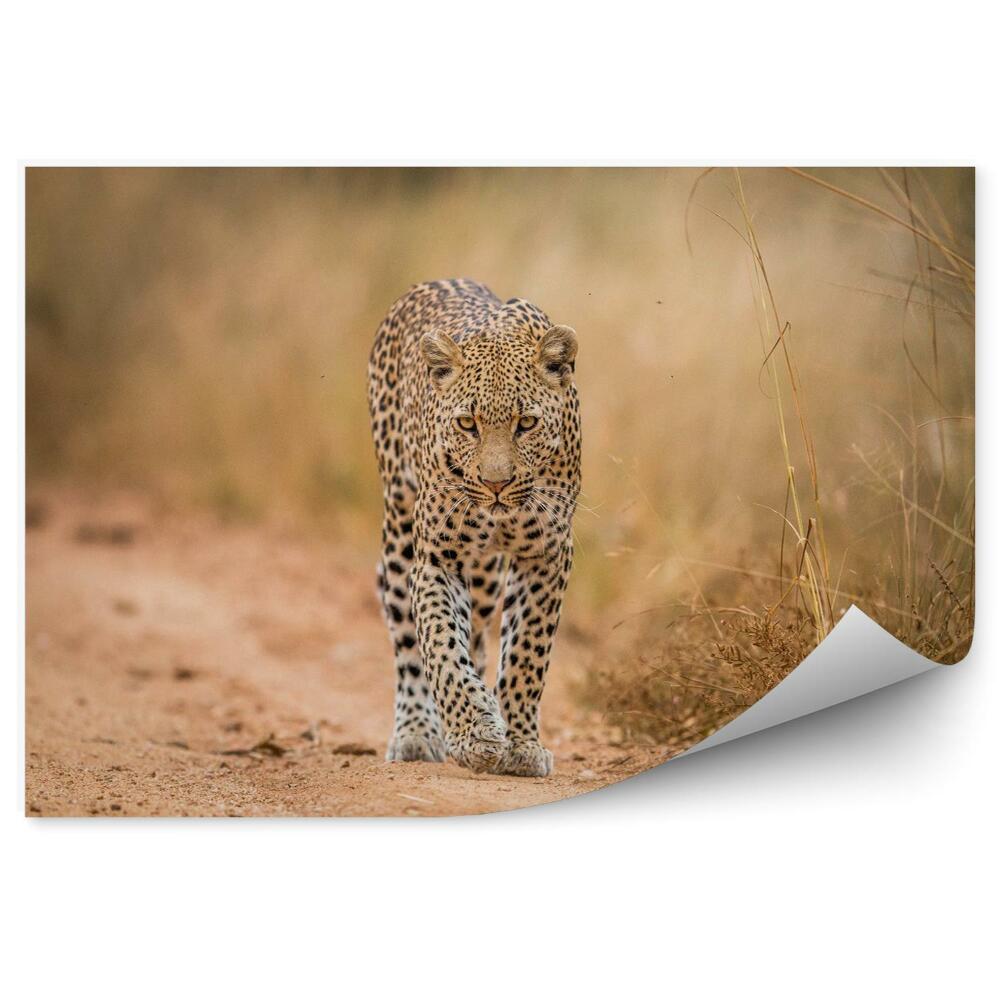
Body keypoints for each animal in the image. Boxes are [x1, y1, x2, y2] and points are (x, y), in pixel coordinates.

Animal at [367, 278, 580, 777]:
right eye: (467, 423)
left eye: (527, 423)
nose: (495, 484)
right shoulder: (437, 558)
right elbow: (441, 645)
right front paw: (473, 733)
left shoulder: (547, 553)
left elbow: (526, 652)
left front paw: (520, 744)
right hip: (400, 529)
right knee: (408, 639)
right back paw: (417, 733)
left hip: (485, 577)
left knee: (481, 635)